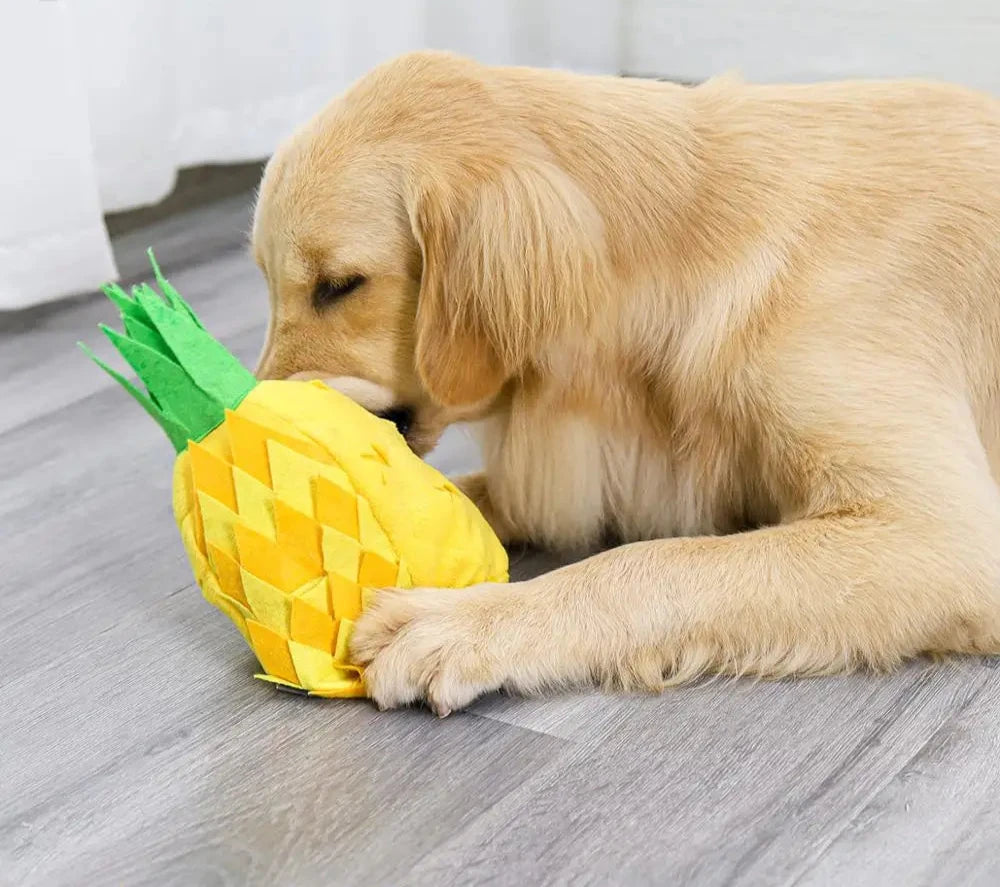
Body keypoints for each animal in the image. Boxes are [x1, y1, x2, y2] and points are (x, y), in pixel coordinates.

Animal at [252, 48, 1000, 720]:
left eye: (340, 285)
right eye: (267, 280)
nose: (240, 425)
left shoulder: (942, 535)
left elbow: (647, 564)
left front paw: (462, 621)